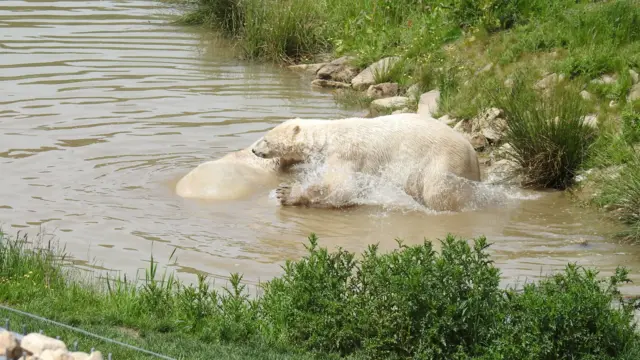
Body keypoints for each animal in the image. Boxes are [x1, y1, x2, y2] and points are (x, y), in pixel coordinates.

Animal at [250, 113, 480, 211]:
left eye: (265, 139)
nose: (253, 149)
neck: (327, 136)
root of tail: (473, 154)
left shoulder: (345, 153)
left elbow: (341, 187)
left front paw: (287, 193)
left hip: (444, 160)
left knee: (437, 191)